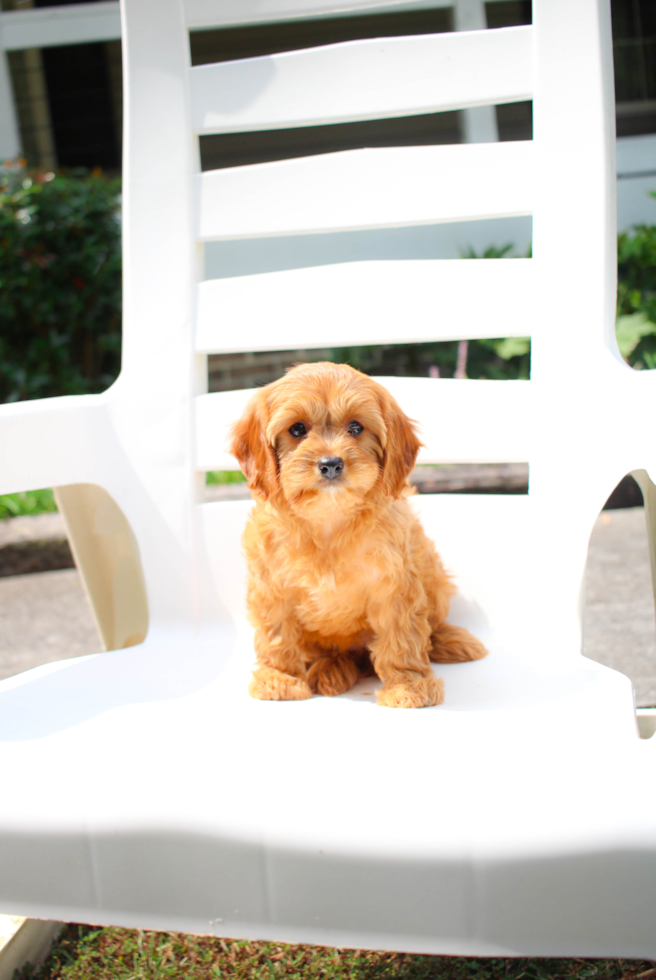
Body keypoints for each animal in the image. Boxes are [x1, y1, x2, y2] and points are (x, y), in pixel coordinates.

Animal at [231, 364, 486, 708]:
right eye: (297, 429)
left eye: (355, 427)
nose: (330, 464)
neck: (329, 518)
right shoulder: (272, 586)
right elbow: (277, 634)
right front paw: (279, 678)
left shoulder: (395, 585)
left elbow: (403, 636)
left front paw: (408, 686)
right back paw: (330, 669)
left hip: (435, 577)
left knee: (431, 626)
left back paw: (450, 640)